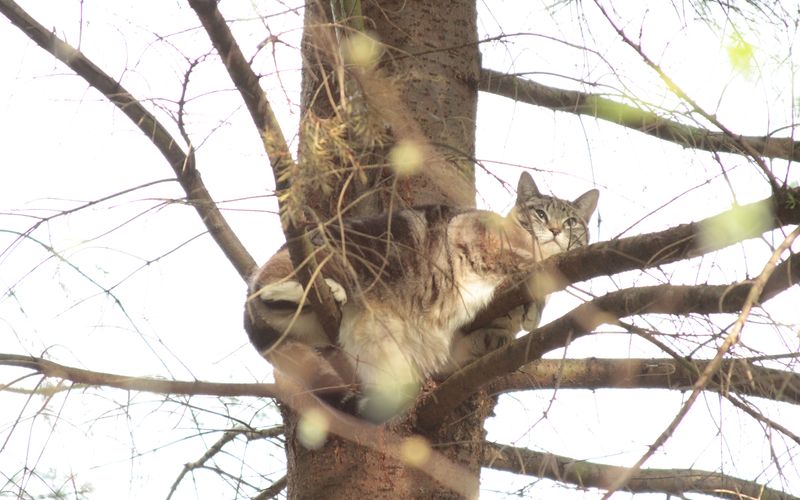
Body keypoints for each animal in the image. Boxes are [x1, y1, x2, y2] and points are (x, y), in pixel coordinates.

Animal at [247, 172, 596, 418]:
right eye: (540, 214)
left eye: (571, 221)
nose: (555, 230)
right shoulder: (471, 232)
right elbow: (517, 261)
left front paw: (523, 318)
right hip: (347, 255)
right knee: (265, 289)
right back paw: (317, 289)